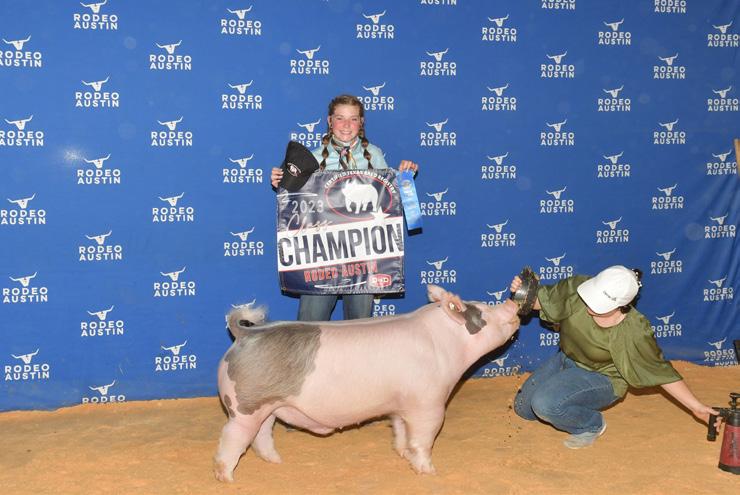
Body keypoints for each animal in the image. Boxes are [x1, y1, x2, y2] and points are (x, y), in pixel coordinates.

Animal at [214, 285, 520, 482]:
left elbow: (401, 431)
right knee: (232, 437)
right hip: (244, 407)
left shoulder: (401, 405)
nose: (512, 304)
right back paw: (226, 478)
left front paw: (402, 454)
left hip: (267, 404)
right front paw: (430, 472)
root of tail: (245, 335)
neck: (446, 344)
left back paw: (276, 461)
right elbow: (423, 438)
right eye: (483, 315)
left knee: (262, 434)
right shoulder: (429, 403)